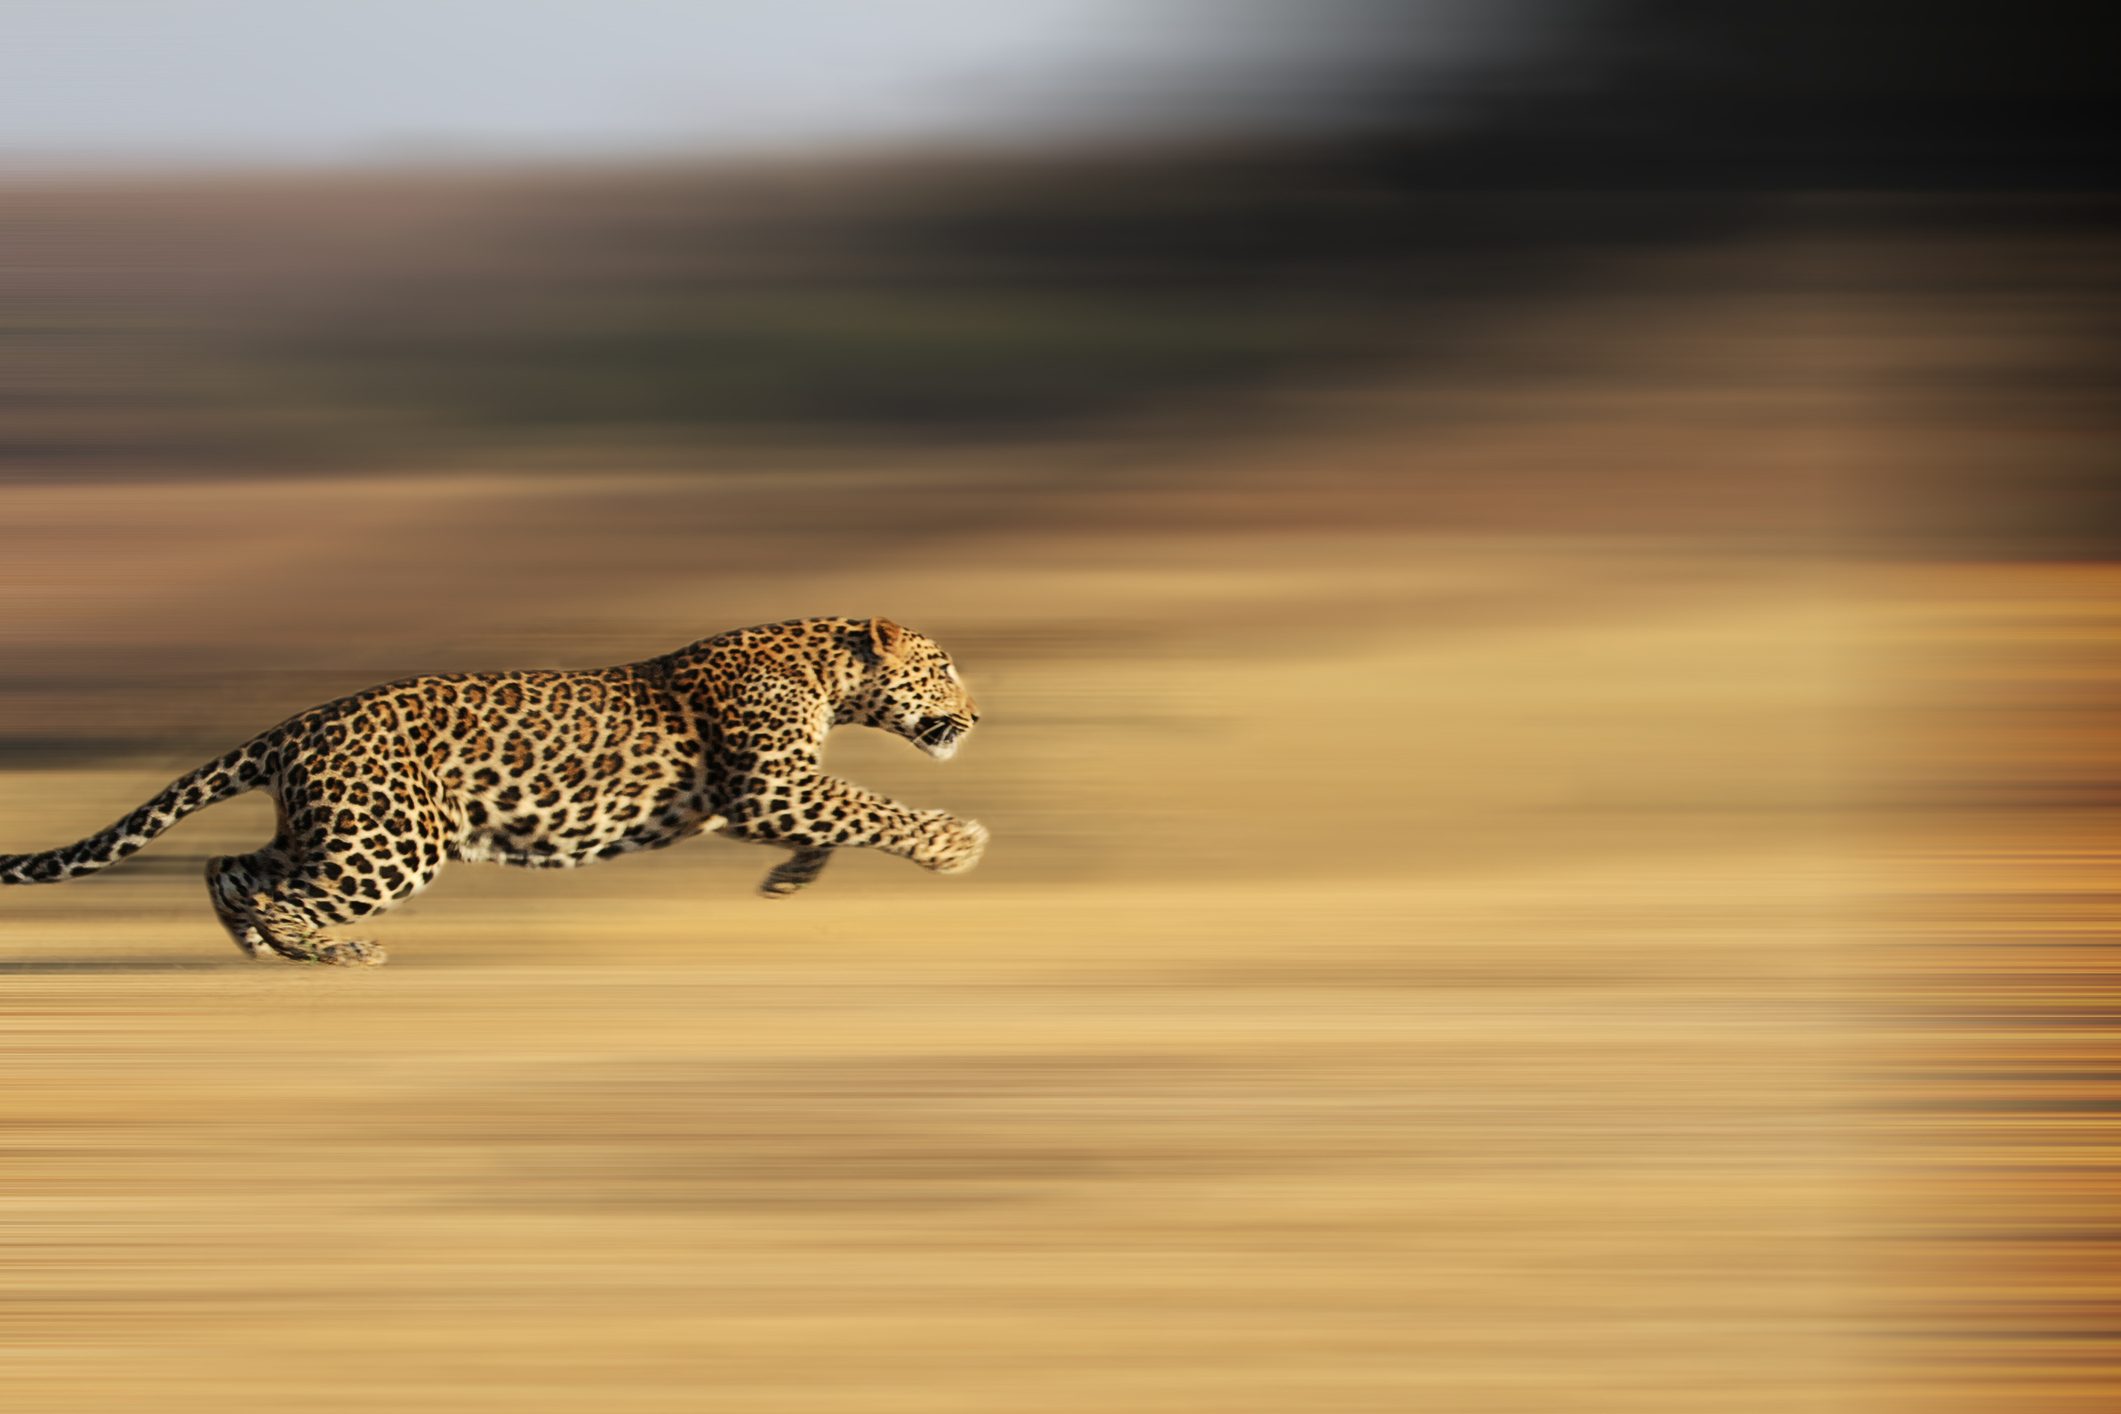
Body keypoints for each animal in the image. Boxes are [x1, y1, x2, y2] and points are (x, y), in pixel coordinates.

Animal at [0, 617, 986, 965]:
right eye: (941, 668)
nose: (975, 715)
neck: (826, 670)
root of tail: (298, 726)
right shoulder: (772, 783)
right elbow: (869, 808)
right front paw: (955, 845)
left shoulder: (761, 796)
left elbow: (839, 819)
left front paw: (789, 879)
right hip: (390, 845)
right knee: (278, 888)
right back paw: (329, 953)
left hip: (338, 829)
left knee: (229, 867)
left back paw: (259, 947)